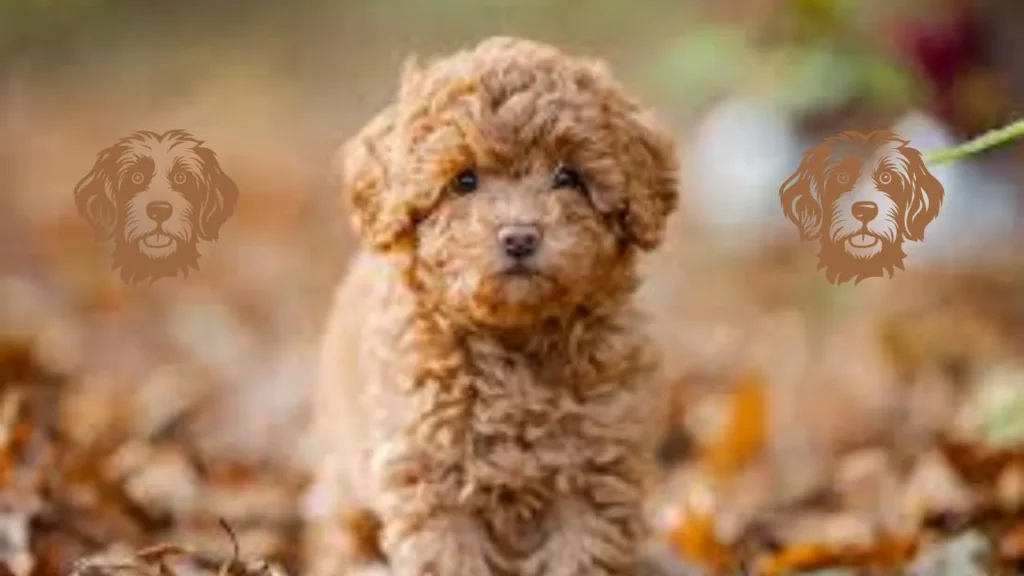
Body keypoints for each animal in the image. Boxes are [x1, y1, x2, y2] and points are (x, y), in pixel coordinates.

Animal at [303, 36, 679, 573]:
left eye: (568, 176)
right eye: (464, 181)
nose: (520, 236)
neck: (514, 344)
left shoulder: (593, 467)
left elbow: (580, 551)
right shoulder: (431, 474)